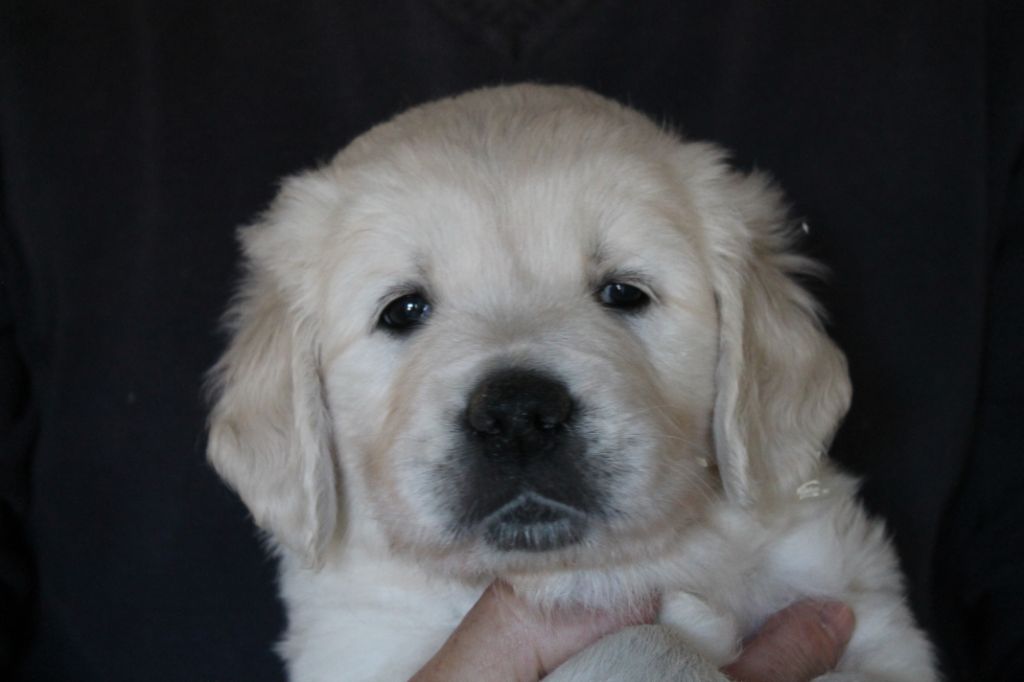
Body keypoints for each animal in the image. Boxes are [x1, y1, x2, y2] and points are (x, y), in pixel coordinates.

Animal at [205, 84, 937, 679]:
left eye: (623, 292)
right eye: (403, 310)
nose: (517, 416)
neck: (577, 580)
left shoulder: (864, 615)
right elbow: (648, 643)